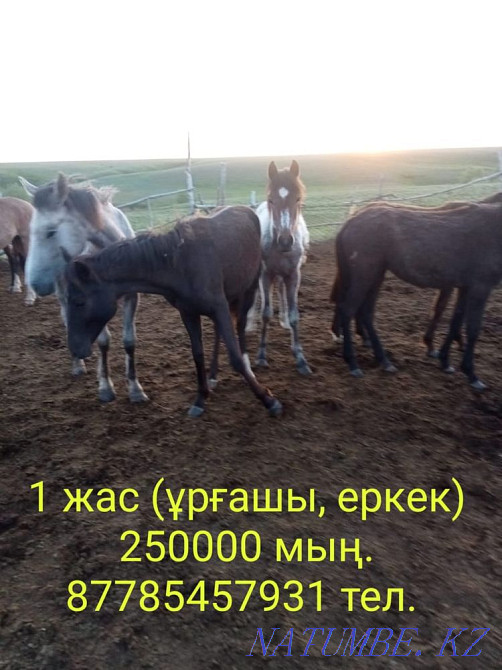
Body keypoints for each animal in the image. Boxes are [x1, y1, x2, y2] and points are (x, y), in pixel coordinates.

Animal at [19, 173, 147, 403]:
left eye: (50, 232)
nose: (34, 284)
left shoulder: (133, 296)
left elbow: (129, 341)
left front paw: (135, 389)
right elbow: (104, 341)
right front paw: (105, 387)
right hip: (63, 294)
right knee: (67, 321)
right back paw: (77, 365)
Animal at [64, 206, 282, 418]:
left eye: (79, 301)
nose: (75, 349)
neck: (179, 264)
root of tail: (247, 210)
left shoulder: (218, 307)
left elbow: (235, 357)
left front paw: (268, 400)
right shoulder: (188, 313)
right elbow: (197, 354)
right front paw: (200, 398)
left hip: (248, 289)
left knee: (240, 326)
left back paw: (248, 368)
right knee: (219, 332)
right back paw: (213, 376)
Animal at [250, 160, 311, 375]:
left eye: (298, 199)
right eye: (271, 200)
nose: (285, 241)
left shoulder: (293, 276)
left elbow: (295, 316)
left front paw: (300, 358)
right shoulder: (265, 275)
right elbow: (266, 314)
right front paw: (261, 356)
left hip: (283, 276)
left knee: (281, 292)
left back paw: (283, 320)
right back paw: (249, 322)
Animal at [333, 198, 502, 390]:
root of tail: (352, 220)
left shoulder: (464, 287)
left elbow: (455, 322)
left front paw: (445, 361)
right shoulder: (480, 287)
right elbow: (473, 329)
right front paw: (471, 374)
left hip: (375, 275)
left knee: (366, 312)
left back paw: (384, 361)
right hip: (364, 275)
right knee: (348, 310)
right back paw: (353, 363)